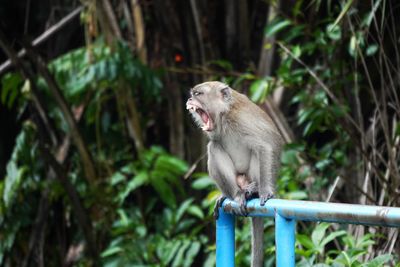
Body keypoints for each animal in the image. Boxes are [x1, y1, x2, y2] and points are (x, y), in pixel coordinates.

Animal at [186, 81, 282, 267]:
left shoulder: (241, 120)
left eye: (198, 94)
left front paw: (266, 191)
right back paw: (235, 194)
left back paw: (254, 190)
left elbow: (265, 146)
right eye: (193, 94)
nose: (189, 99)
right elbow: (215, 143)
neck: (224, 114)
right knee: (214, 146)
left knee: (256, 151)